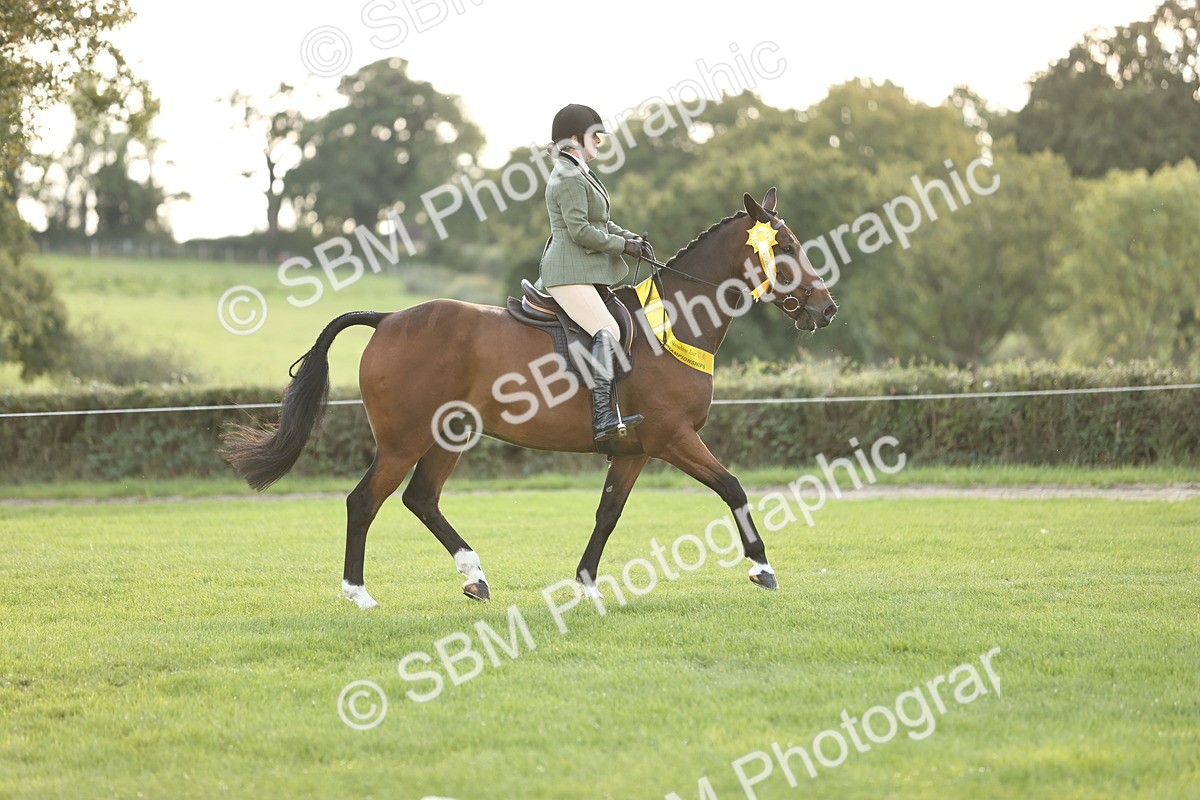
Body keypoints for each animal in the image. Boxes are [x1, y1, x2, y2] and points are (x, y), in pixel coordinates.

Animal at [220, 188, 838, 609]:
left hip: (449, 436)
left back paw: (475, 577)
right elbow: (733, 487)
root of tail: (389, 318)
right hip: (403, 441)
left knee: (421, 499)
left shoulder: (635, 450)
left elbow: (608, 513)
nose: (825, 309)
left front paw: (586, 584)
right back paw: (359, 593)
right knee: (363, 502)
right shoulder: (673, 437)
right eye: (785, 246)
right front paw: (761, 568)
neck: (676, 320)